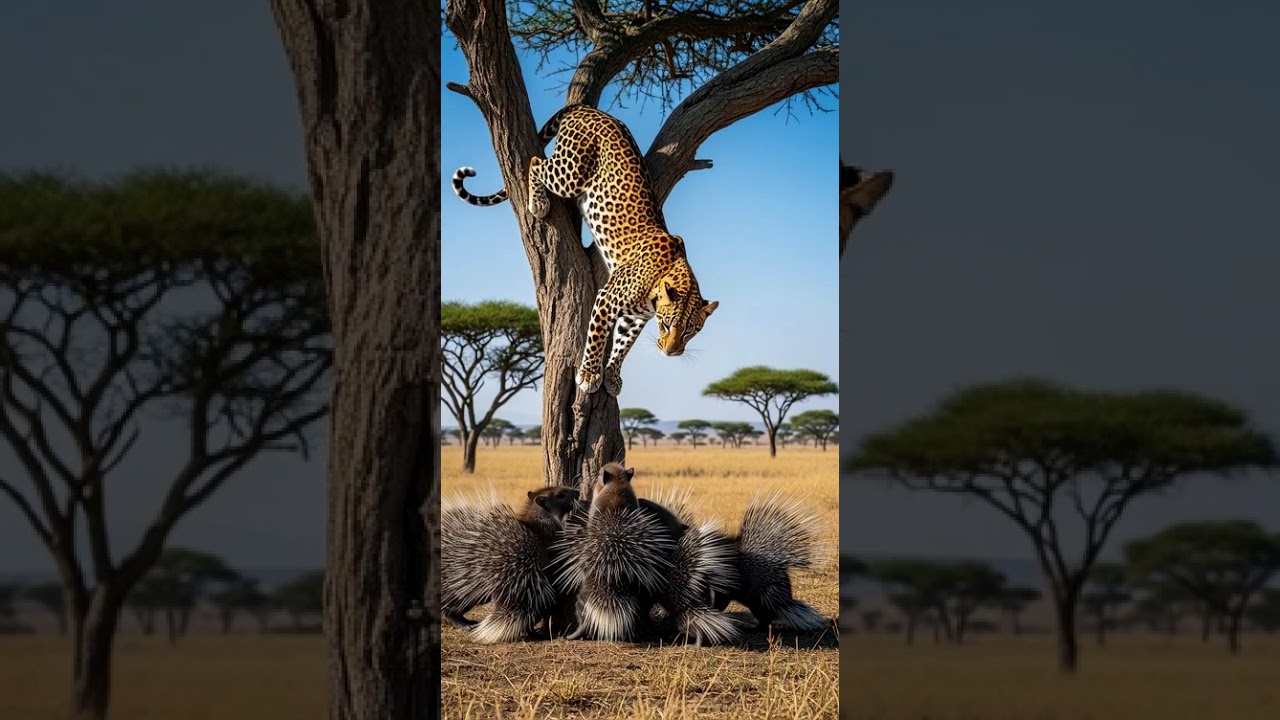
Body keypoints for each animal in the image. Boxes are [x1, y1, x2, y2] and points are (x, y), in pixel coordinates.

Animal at [452, 105, 717, 397]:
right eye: (667, 324)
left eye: (690, 330)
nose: (671, 352)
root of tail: (589, 109)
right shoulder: (606, 299)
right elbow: (597, 338)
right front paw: (589, 375)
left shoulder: (635, 317)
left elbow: (623, 344)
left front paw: (612, 376)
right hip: (570, 173)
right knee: (536, 162)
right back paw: (538, 203)